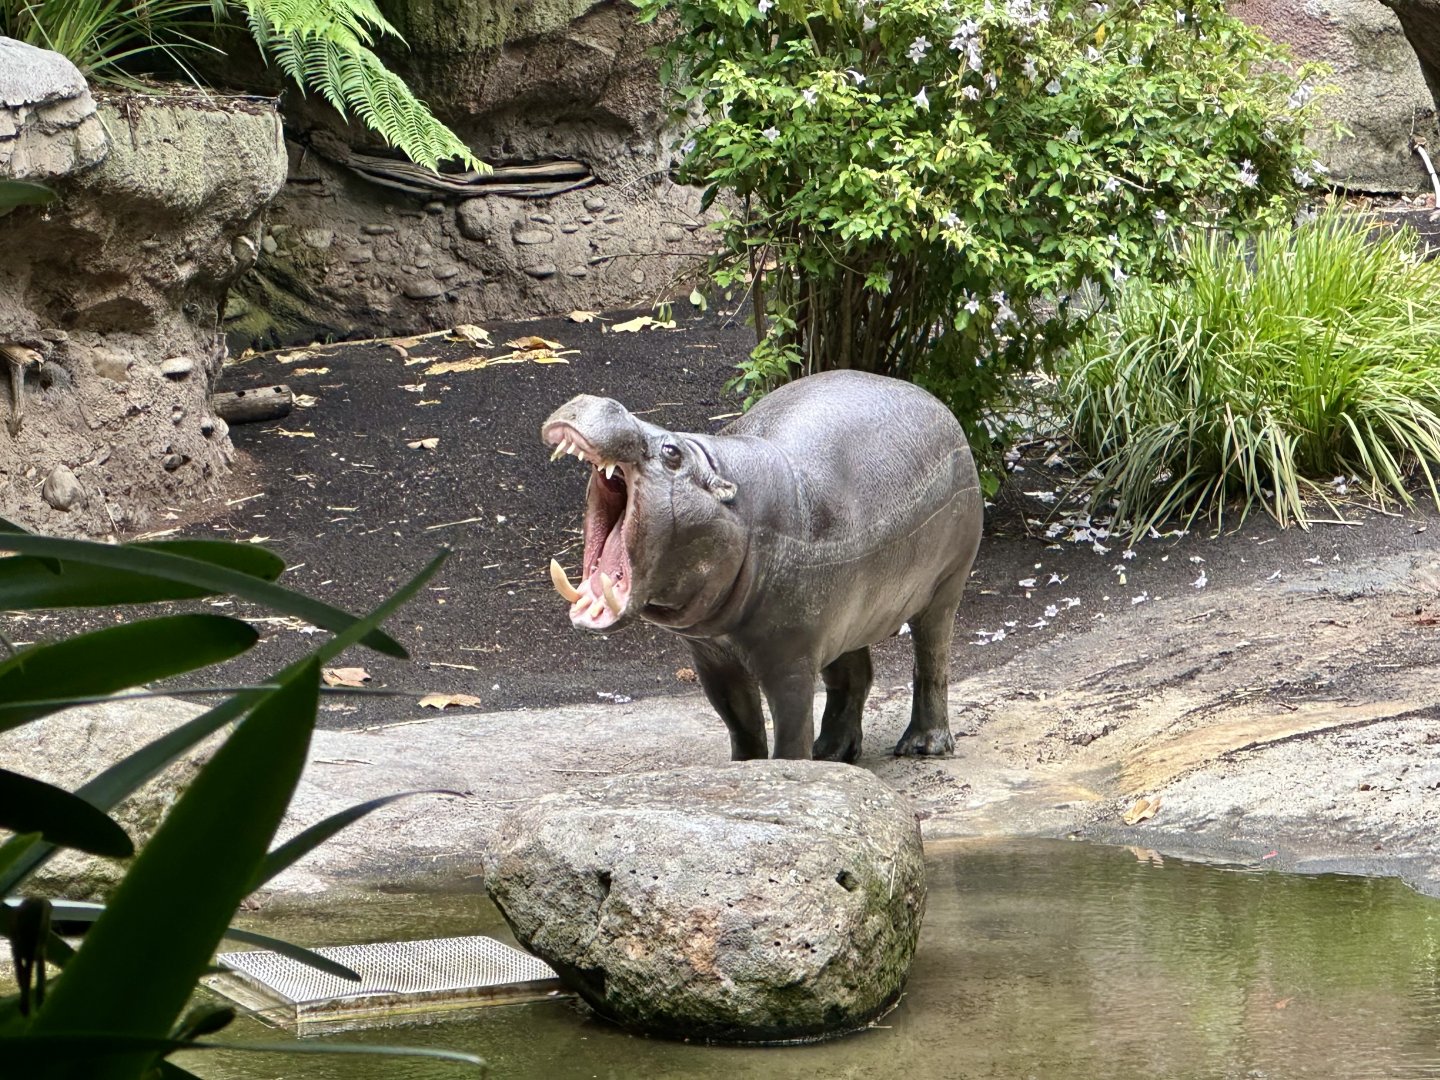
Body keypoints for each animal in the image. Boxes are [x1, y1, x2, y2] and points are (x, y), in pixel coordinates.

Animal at [541, 369, 982, 762]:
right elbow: (741, 723)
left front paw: (790, 771)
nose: (601, 401)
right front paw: (749, 772)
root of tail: (933, 400)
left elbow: (790, 726)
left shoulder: (791, 659)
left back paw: (922, 746)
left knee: (931, 659)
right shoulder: (713, 659)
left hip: (945, 587)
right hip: (848, 612)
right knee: (853, 674)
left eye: (672, 452)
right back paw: (832, 754)